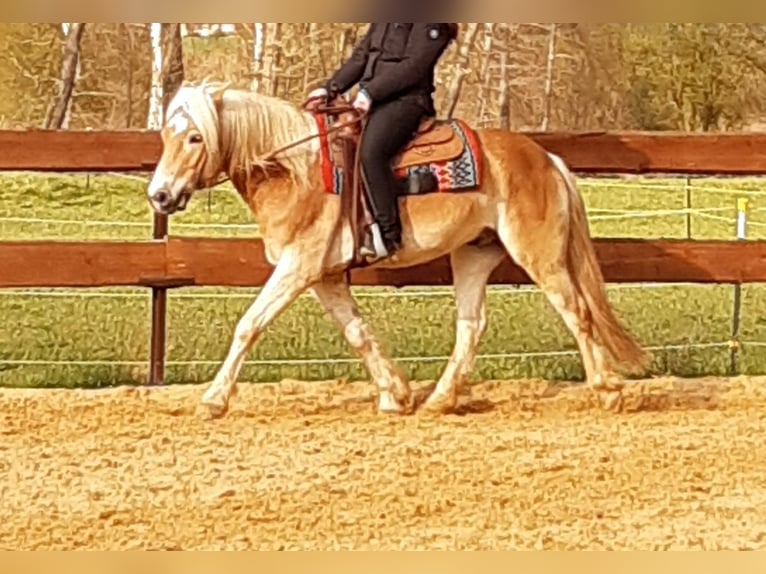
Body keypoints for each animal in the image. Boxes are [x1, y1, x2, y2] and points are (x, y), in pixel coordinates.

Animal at [147, 81, 652, 420]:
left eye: (195, 137)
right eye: (167, 136)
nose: (160, 196)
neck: (294, 169)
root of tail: (547, 159)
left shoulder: (298, 266)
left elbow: (249, 325)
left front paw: (213, 400)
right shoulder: (324, 275)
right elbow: (357, 332)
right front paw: (396, 394)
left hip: (539, 253)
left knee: (576, 311)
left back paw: (608, 389)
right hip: (474, 254)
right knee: (471, 325)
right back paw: (440, 400)